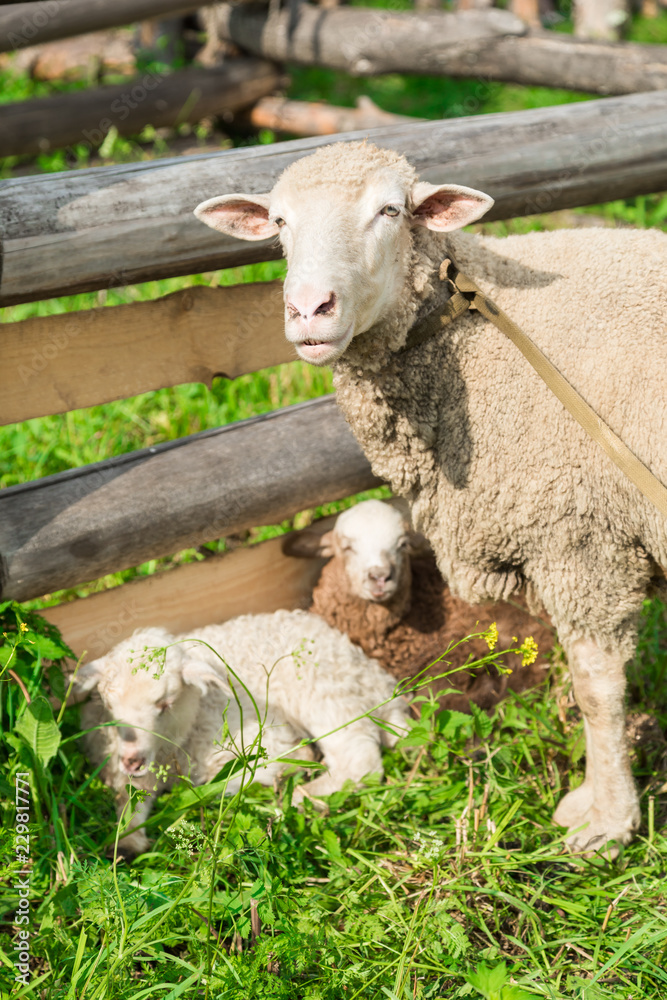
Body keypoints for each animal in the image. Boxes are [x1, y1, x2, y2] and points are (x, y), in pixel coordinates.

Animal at [69, 611, 408, 856]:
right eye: (109, 705)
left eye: (165, 703)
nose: (131, 760)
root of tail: (382, 687)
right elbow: (129, 799)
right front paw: (126, 842)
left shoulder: (260, 740)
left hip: (326, 695)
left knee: (359, 762)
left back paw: (301, 796)